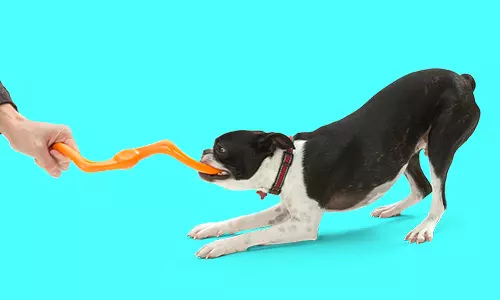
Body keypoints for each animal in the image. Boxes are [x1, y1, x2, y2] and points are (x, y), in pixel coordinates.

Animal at [188, 68, 480, 258]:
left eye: (221, 148)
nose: (203, 150)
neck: (286, 163)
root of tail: (463, 80)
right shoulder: (286, 209)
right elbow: (242, 220)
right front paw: (211, 229)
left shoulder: (302, 225)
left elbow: (253, 234)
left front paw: (220, 246)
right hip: (404, 151)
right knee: (422, 187)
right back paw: (391, 209)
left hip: (440, 145)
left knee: (439, 197)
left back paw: (424, 228)